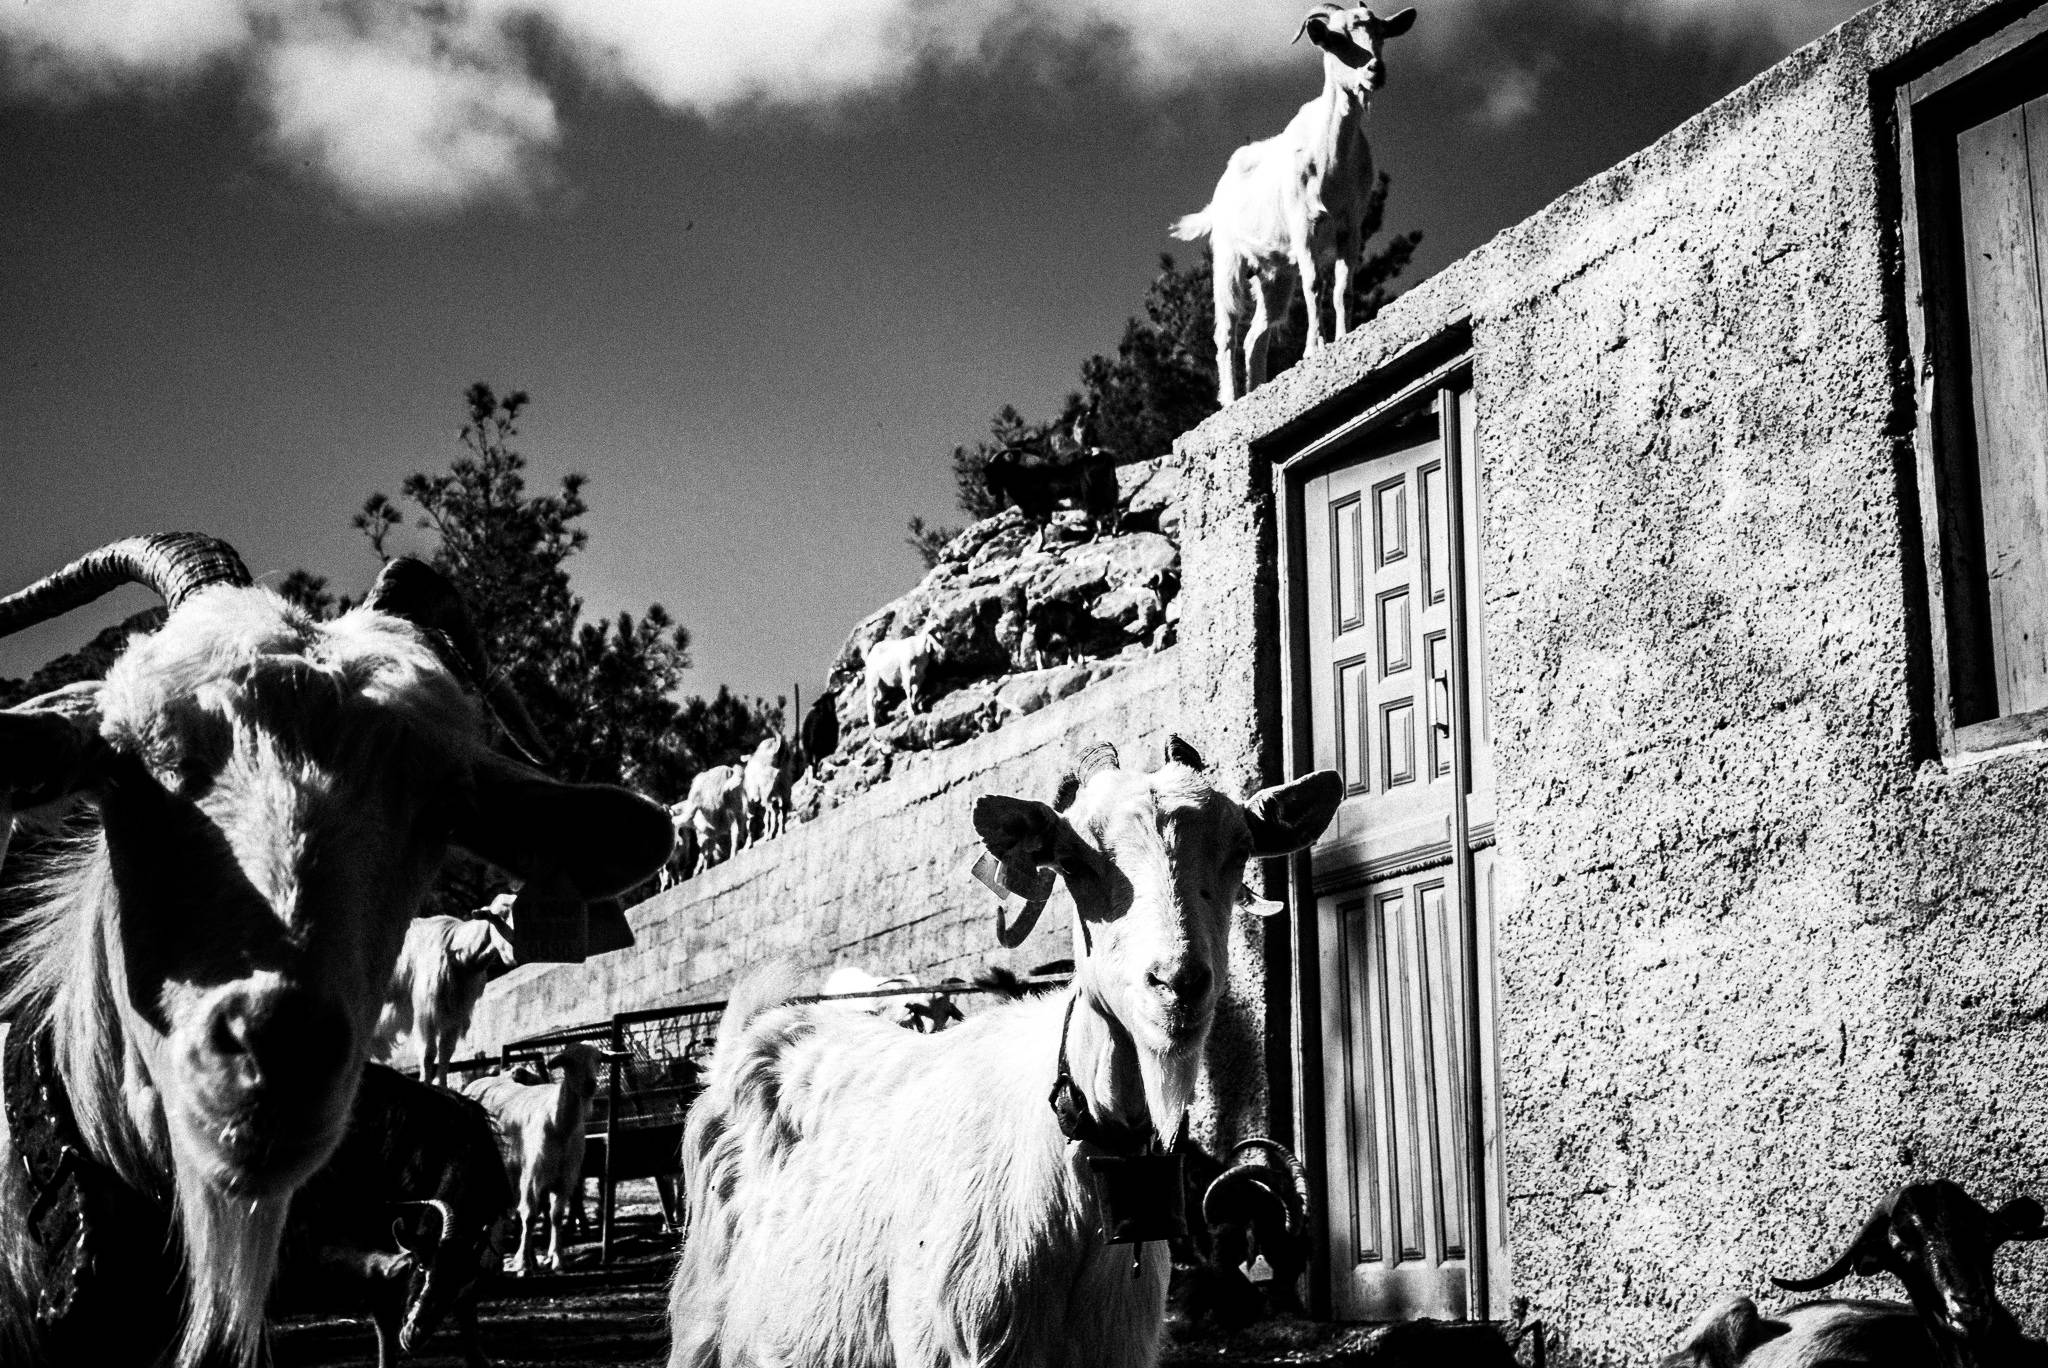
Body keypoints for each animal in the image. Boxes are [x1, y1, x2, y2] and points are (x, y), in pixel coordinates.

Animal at [375, 914, 518, 1088]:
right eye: (501, 918)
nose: (515, 954)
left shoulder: (455, 1014)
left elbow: (446, 1051)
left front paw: (441, 1083)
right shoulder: (426, 1011)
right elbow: (428, 1051)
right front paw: (425, 1081)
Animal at [462, 1044, 609, 1277]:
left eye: (598, 1060)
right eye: (568, 1061)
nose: (590, 1085)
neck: (561, 1126)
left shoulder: (566, 1180)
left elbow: (555, 1215)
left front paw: (557, 1260)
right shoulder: (531, 1176)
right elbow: (529, 1216)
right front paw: (523, 1263)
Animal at [1172, 3, 1415, 405]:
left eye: (1381, 34)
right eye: (1335, 39)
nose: (1375, 70)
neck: (1331, 159)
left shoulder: (1352, 227)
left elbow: (1343, 287)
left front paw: (1344, 337)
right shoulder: (1304, 227)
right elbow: (1315, 284)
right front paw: (1314, 350)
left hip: (1273, 273)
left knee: (1256, 334)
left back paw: (1257, 390)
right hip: (1227, 257)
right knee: (1226, 331)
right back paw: (1231, 401)